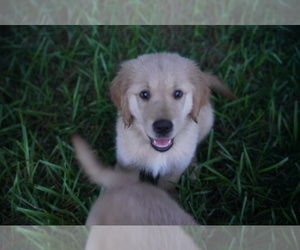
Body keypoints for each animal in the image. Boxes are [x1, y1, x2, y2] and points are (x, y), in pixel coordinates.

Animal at [109, 51, 234, 190]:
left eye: (178, 93)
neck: (158, 152)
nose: (163, 127)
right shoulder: (126, 166)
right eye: (144, 94)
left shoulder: (173, 172)